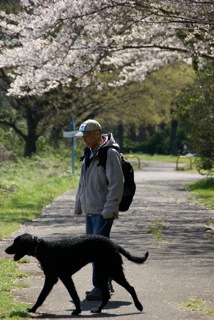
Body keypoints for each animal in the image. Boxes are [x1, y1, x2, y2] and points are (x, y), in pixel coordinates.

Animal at [5, 234, 149, 316]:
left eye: (15, 242)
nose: (6, 249)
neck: (42, 247)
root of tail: (113, 244)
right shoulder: (52, 279)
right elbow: (41, 296)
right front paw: (33, 309)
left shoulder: (64, 277)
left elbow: (73, 295)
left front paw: (77, 310)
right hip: (101, 273)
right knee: (107, 295)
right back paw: (98, 310)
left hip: (113, 271)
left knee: (131, 288)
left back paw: (139, 306)